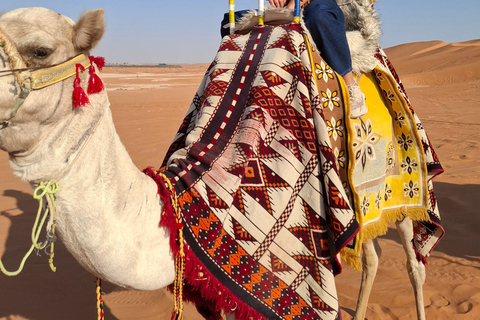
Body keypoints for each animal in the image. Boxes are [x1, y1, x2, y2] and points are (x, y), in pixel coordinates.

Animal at [0, 4, 438, 320]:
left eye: (40, 51)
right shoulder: (217, 286)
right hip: (359, 203)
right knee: (371, 255)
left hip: (403, 188)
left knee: (414, 262)